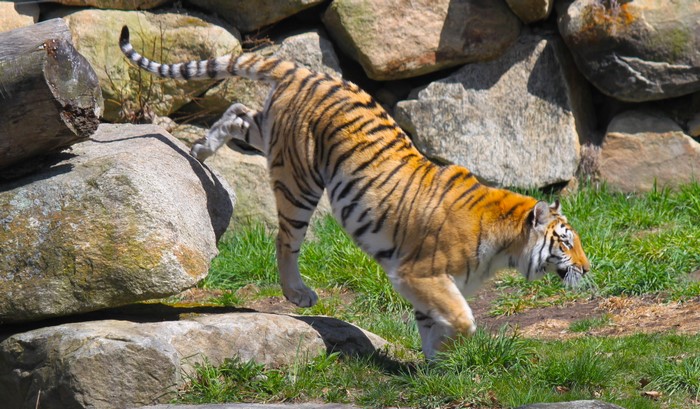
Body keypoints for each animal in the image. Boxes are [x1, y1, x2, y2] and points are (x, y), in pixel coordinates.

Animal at [119, 26, 590, 359]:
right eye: (566, 242)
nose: (589, 269)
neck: (505, 246)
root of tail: (308, 71)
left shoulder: (427, 285)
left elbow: (431, 325)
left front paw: (436, 371)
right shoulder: (420, 274)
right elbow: (462, 320)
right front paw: (448, 357)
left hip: (273, 135)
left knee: (237, 111)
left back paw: (200, 149)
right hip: (299, 178)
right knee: (286, 239)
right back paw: (297, 293)